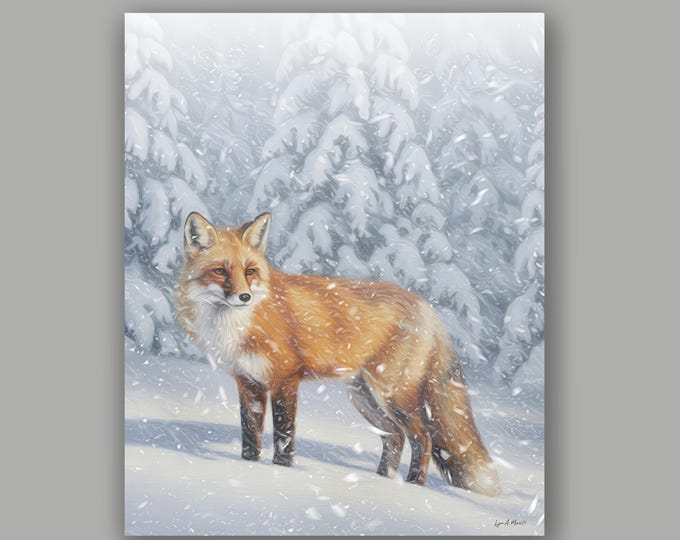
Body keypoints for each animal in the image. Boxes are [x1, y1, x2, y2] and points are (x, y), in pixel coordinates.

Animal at [175, 211, 501, 496]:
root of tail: (426, 307)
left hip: (394, 393)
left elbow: (283, 436)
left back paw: (411, 487)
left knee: (424, 437)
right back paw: (382, 482)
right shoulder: (248, 381)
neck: (239, 325)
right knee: (394, 437)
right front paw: (249, 469)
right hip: (364, 397)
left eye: (250, 271)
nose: (244, 297)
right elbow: (250, 435)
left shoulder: (285, 378)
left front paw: (280, 472)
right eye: (220, 271)